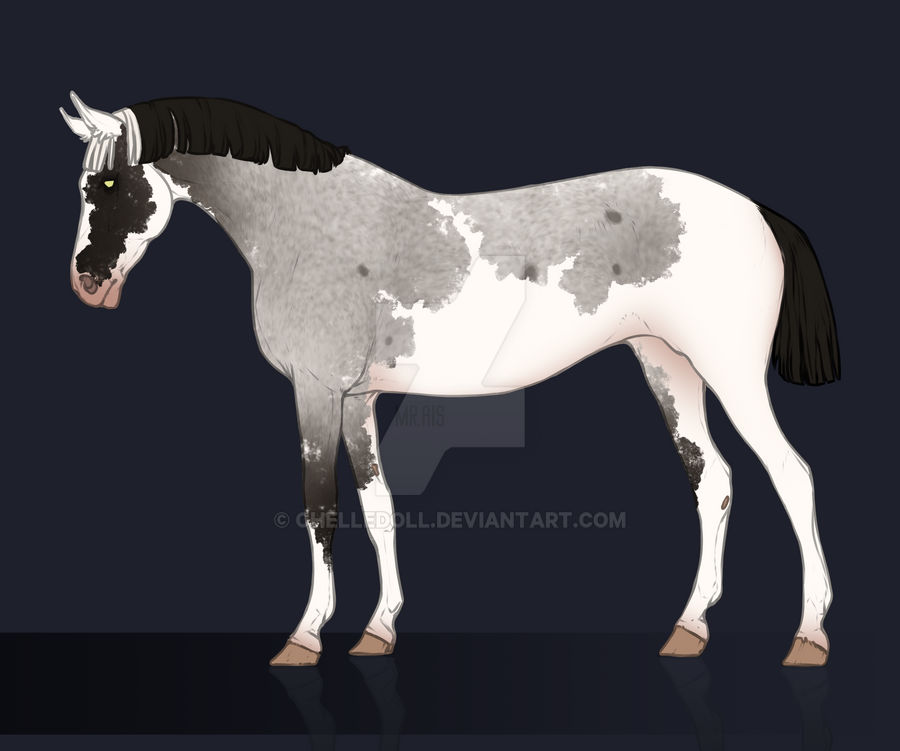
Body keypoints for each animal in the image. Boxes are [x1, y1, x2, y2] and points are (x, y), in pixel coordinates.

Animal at [60, 91, 839, 667]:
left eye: (108, 181)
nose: (86, 284)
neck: (307, 224)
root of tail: (756, 211)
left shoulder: (316, 391)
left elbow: (320, 508)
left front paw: (305, 636)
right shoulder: (358, 398)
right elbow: (377, 507)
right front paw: (378, 630)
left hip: (728, 371)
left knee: (792, 475)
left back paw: (809, 636)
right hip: (666, 363)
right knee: (715, 481)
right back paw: (689, 628)